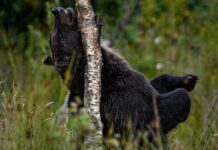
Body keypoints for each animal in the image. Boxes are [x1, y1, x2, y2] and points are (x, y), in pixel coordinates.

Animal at [43, 6, 198, 146]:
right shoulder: (127, 105)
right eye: (58, 33)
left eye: (53, 32)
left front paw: (187, 79)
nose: (56, 10)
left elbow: (158, 81)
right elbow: (172, 103)